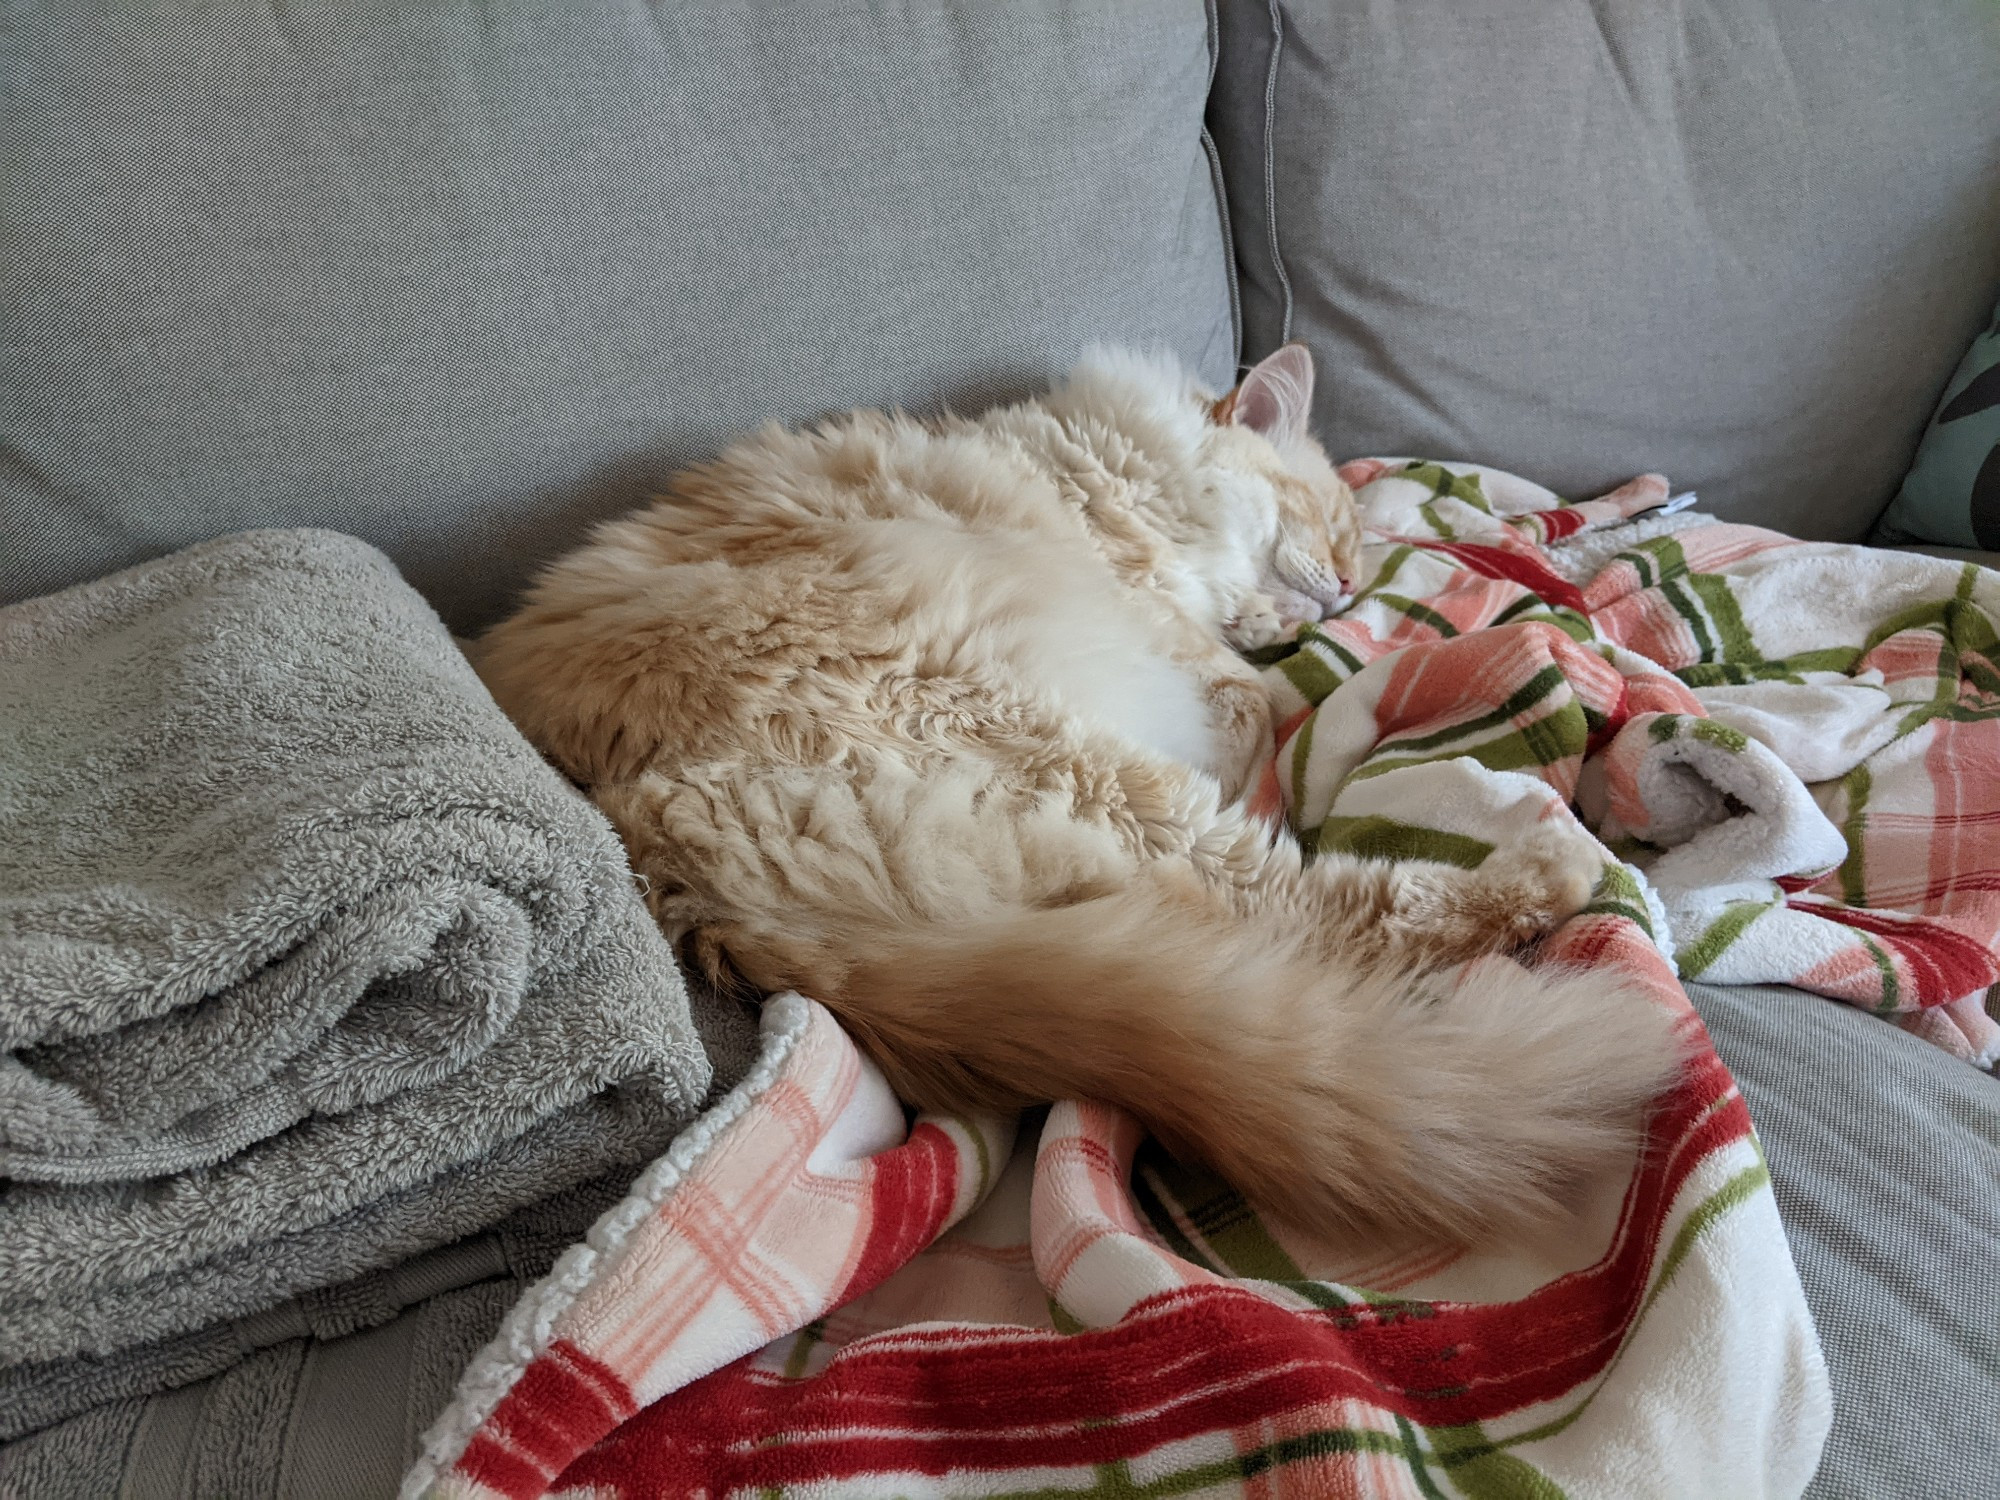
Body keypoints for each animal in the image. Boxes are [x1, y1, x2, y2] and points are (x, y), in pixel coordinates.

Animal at [476, 350, 1680, 1248]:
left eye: (1355, 559)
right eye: (1326, 527)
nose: (1344, 588)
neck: (1100, 469)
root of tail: (680, 877)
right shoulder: (1179, 640)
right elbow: (1252, 698)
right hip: (1032, 731)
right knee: (1295, 902)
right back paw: (1550, 863)